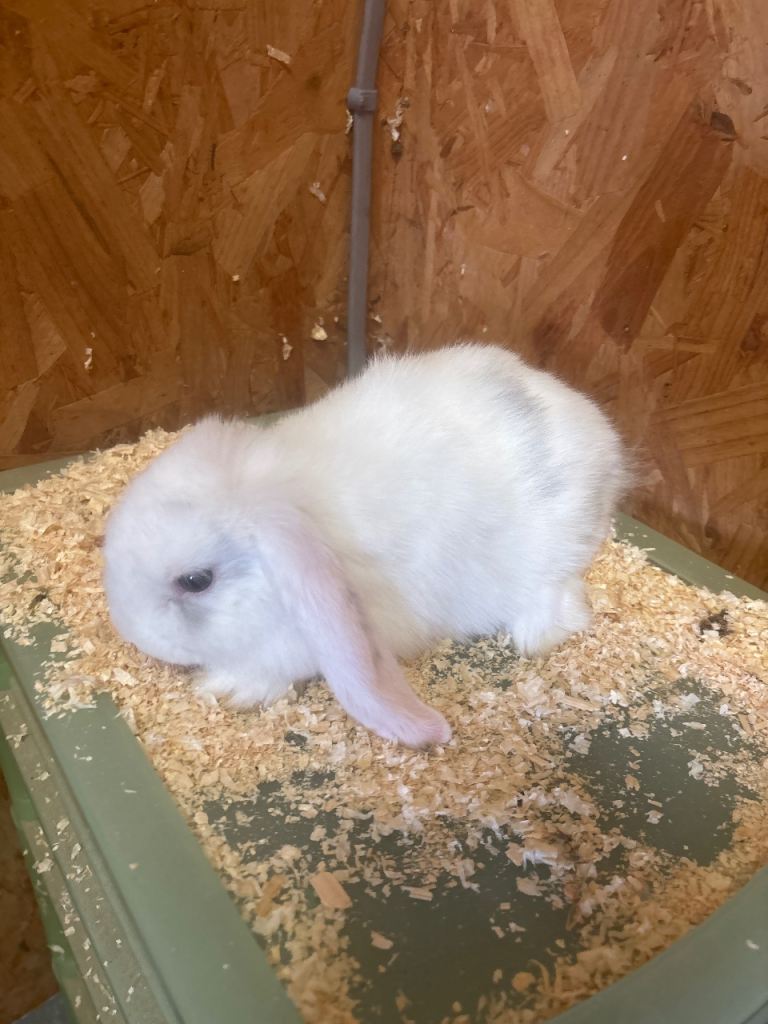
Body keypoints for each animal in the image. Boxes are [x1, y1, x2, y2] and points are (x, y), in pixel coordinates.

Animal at [102, 343, 628, 748]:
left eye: (196, 581)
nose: (134, 633)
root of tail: (602, 439)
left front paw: (226, 688)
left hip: (552, 551)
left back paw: (536, 635)